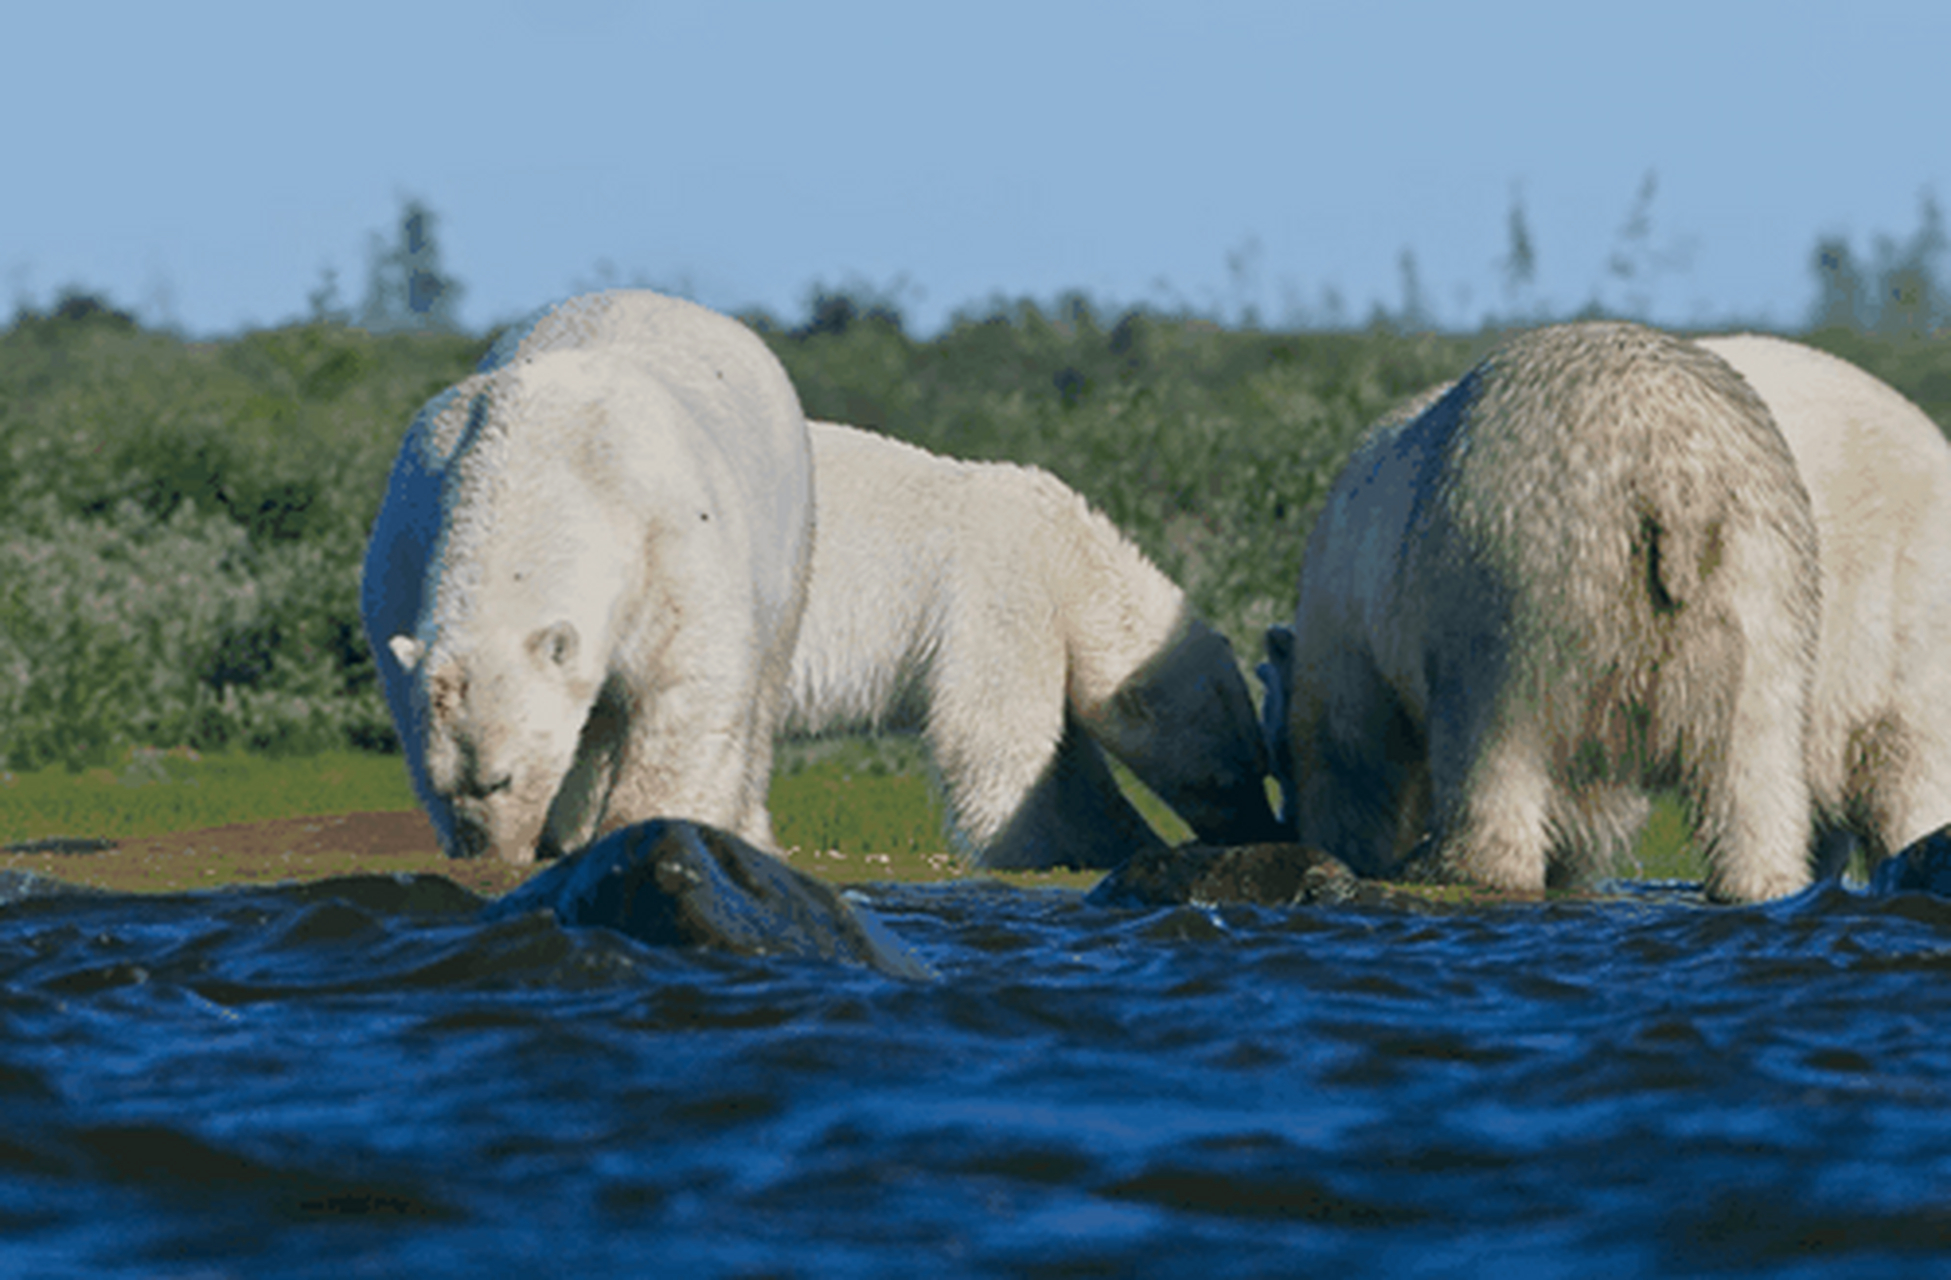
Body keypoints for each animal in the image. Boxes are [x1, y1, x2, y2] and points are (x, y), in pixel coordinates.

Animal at [362, 290, 811, 866]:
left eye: (501, 779)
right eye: (445, 787)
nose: (490, 855)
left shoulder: (667, 540)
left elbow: (683, 682)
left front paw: (641, 827)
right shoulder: (405, 547)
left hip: (788, 521)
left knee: (765, 683)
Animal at [776, 419, 1279, 870]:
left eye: (1260, 765)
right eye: (1219, 782)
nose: (1262, 830)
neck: (1068, 554)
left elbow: (1072, 764)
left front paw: (1128, 845)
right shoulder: (1006, 597)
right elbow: (996, 732)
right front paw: (1033, 853)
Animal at [1272, 320, 1818, 905]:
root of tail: (1672, 471)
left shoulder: (1344, 626)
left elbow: (1349, 752)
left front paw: (1348, 850)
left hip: (1516, 575)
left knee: (1492, 734)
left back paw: (1454, 867)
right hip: (1761, 577)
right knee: (1757, 754)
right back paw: (1762, 881)